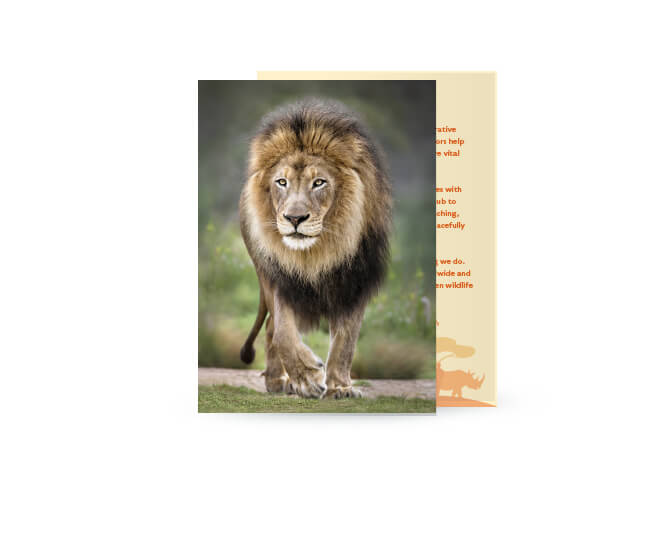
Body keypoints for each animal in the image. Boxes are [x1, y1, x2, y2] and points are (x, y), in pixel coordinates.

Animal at [238, 99, 392, 399]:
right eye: (281, 182)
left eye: (319, 182)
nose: (294, 218)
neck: (316, 254)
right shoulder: (279, 277)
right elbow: (284, 333)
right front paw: (307, 378)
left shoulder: (355, 283)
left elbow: (346, 341)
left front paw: (340, 387)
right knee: (273, 328)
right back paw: (279, 382)